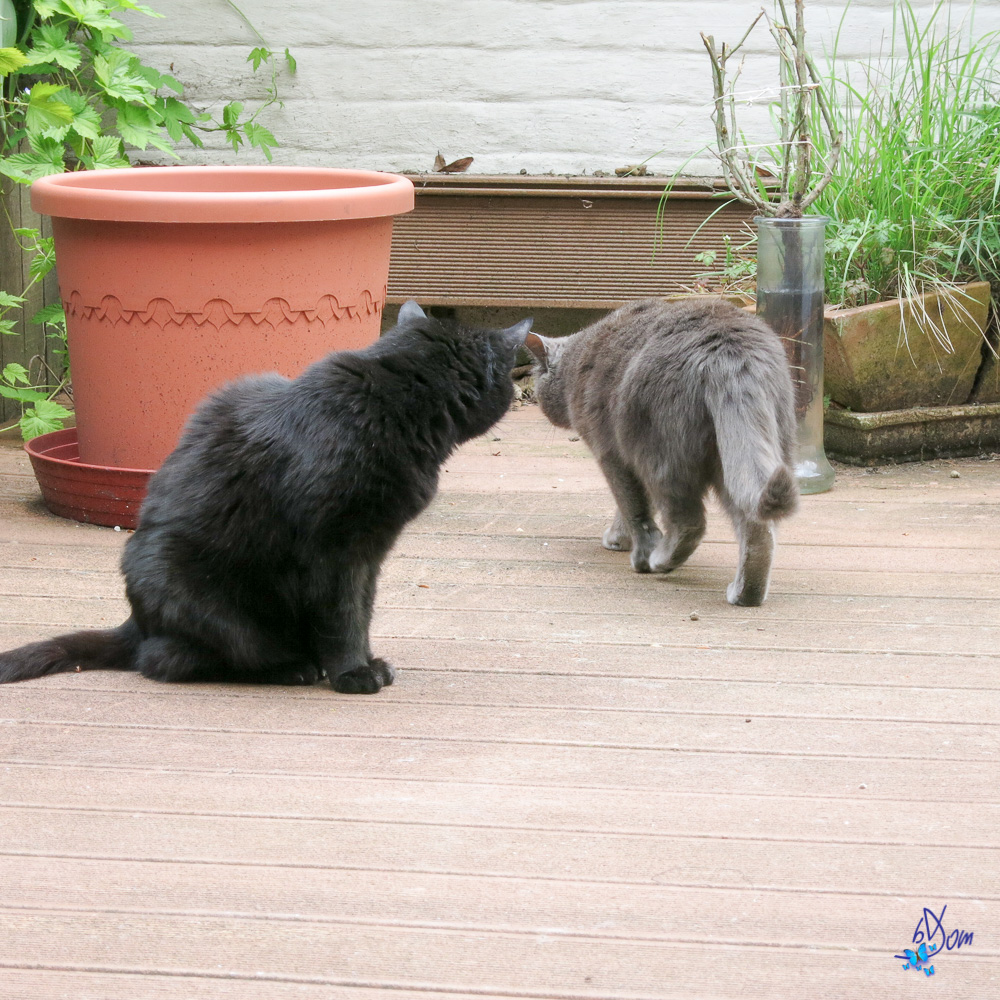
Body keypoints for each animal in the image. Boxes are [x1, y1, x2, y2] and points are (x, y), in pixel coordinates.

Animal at [0, 304, 532, 692]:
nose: (514, 391)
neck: (389, 404)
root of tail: (137, 622)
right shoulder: (337, 551)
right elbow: (343, 614)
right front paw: (353, 673)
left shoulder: (371, 552)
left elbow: (363, 610)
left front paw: (365, 661)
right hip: (209, 603)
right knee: (171, 660)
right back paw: (289, 668)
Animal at [528, 296, 800, 604]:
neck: (577, 361)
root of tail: (729, 355)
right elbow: (636, 506)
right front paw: (620, 538)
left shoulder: (611, 454)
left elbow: (634, 507)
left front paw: (633, 548)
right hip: (743, 453)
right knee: (757, 525)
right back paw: (745, 593)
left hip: (661, 455)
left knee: (689, 522)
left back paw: (659, 560)